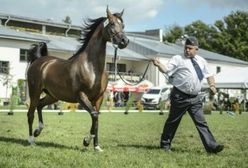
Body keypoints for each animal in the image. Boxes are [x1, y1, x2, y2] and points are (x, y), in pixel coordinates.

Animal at [26, 6, 129, 152]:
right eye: (112, 24)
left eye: (123, 25)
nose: (124, 41)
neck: (91, 67)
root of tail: (40, 61)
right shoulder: (81, 96)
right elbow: (94, 115)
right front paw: (86, 141)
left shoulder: (98, 98)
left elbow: (96, 119)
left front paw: (96, 146)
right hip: (34, 92)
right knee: (30, 113)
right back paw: (31, 140)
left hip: (53, 95)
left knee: (40, 106)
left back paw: (37, 131)